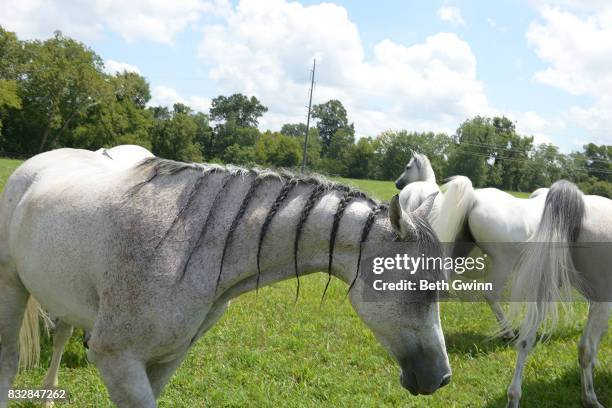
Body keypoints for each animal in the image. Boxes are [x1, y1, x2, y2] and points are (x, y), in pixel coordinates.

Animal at [0, 148, 450, 406]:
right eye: (416, 286)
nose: (442, 378)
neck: (189, 246)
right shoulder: (116, 359)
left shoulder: (166, 359)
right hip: (12, 290)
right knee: (9, 360)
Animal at [504, 182, 608, 408]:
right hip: (603, 297)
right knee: (585, 348)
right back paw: (591, 399)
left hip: (544, 287)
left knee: (525, 340)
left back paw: (514, 397)